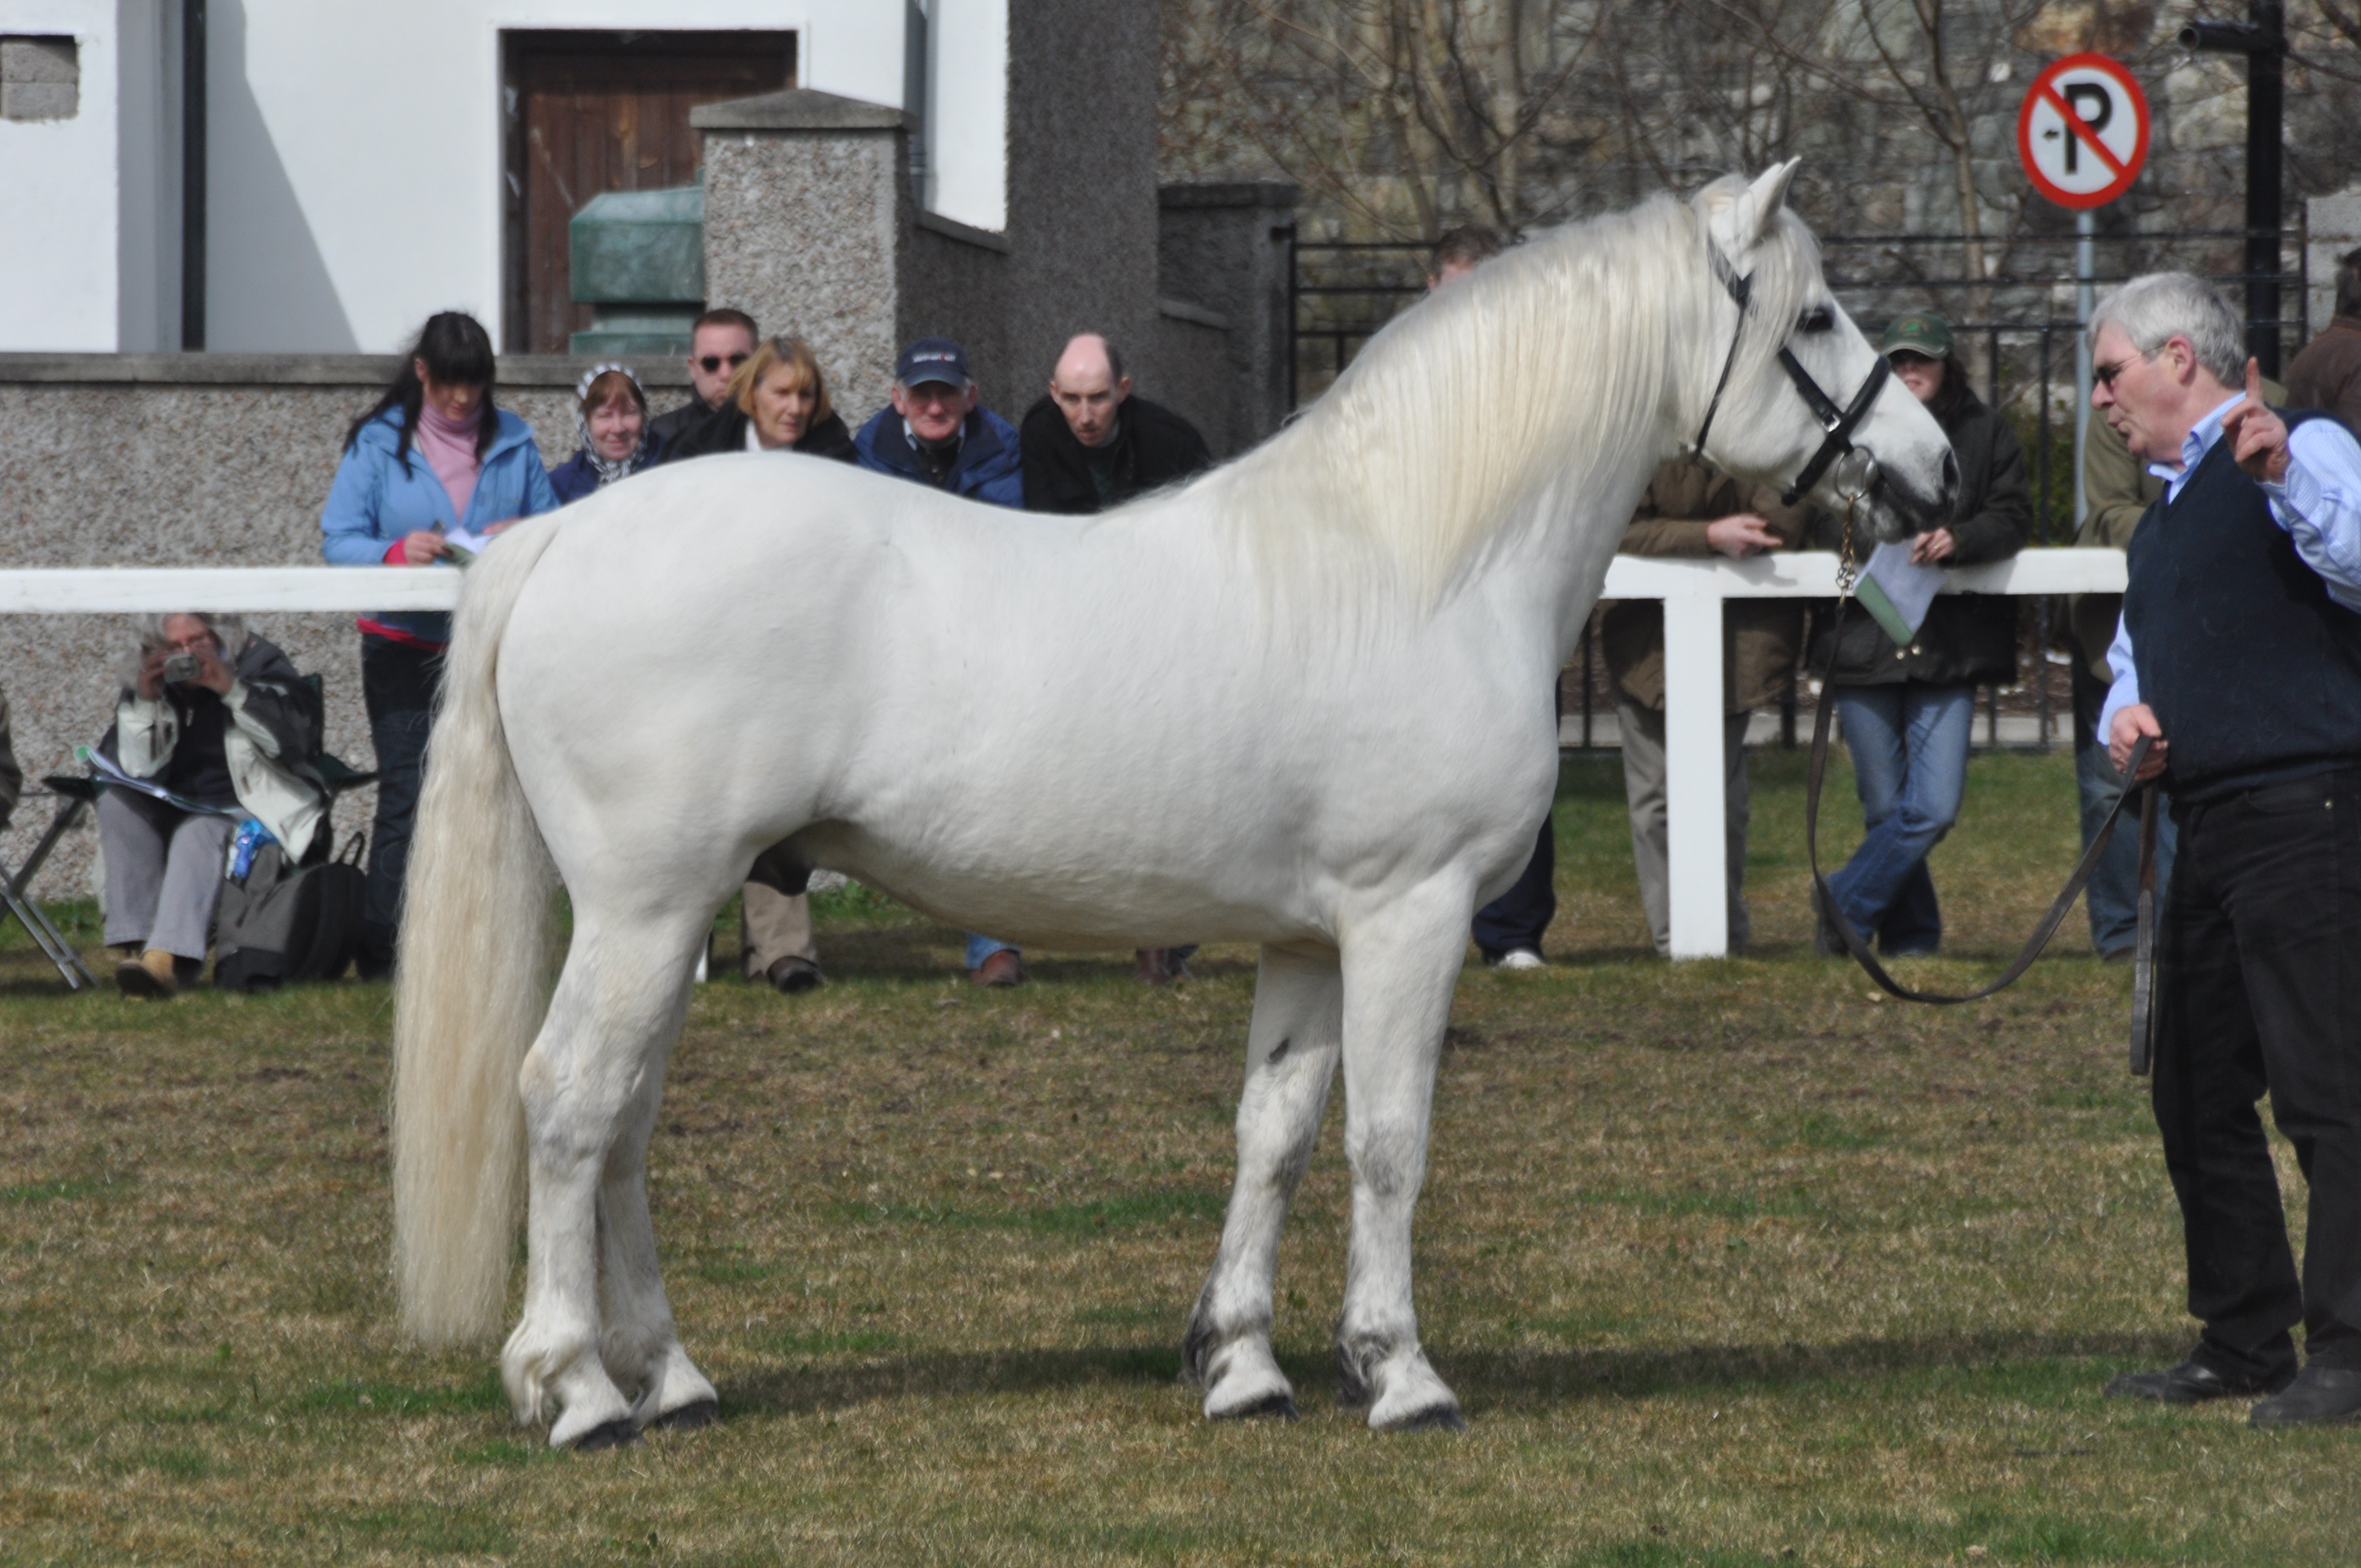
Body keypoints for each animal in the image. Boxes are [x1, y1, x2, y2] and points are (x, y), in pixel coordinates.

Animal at [389, 163, 1958, 1449]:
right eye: (1818, 316)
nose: (1935, 467)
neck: (1416, 560)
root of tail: (560, 535)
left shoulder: (1312, 935)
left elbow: (1276, 1130)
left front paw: (1243, 1361)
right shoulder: (1410, 913)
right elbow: (1390, 1139)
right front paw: (1400, 1371)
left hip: (658, 916)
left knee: (625, 1118)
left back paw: (672, 1376)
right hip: (645, 908)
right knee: (571, 1101)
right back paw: (579, 1390)